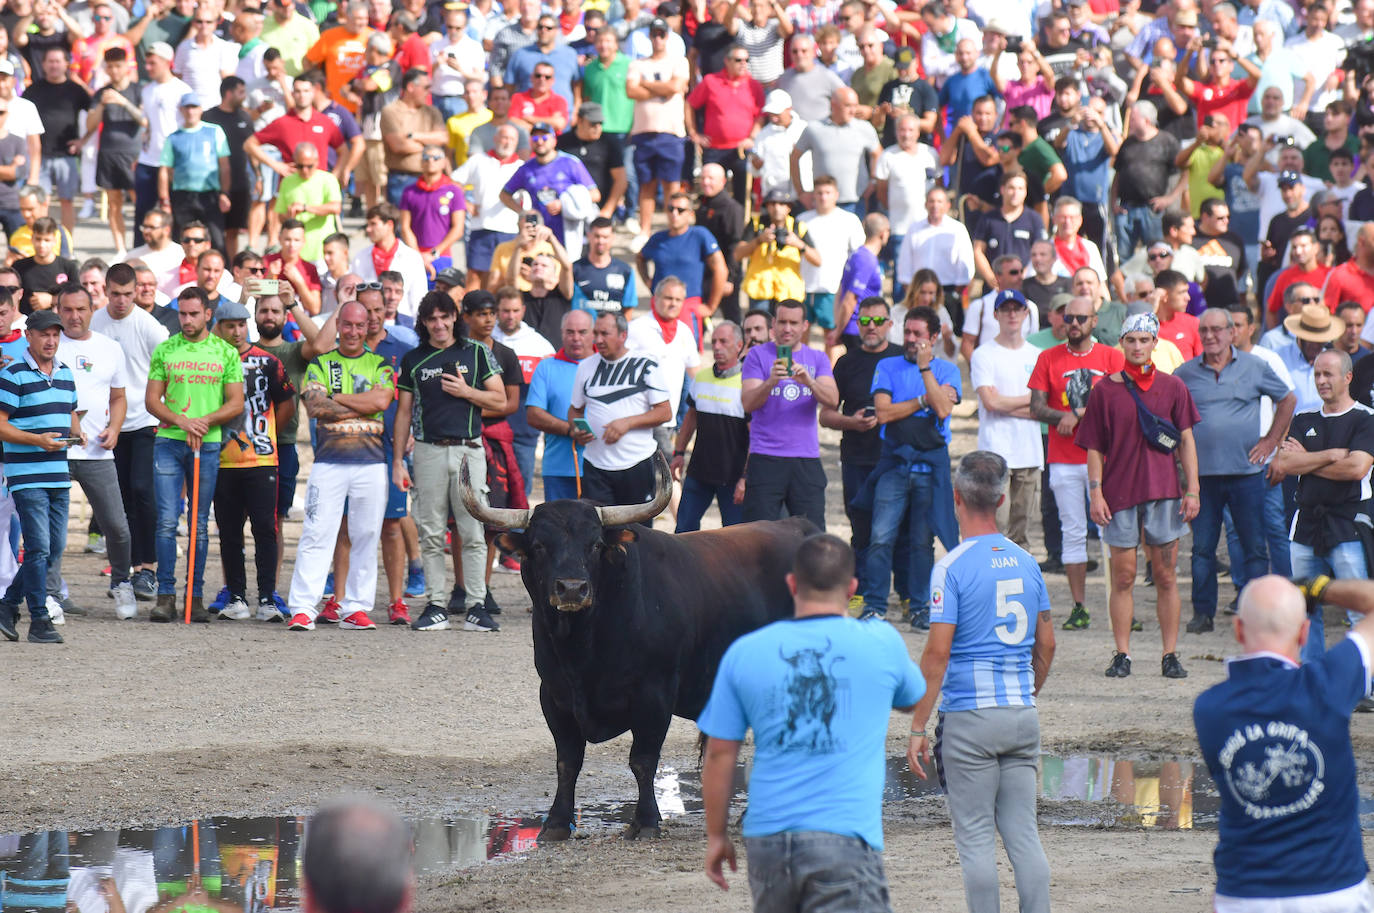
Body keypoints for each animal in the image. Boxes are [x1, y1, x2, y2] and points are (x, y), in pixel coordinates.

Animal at [467, 456, 818, 841]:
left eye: (595, 544)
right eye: (540, 545)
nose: (572, 589)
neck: (583, 650)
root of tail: (800, 527)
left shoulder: (655, 694)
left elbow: (643, 760)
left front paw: (647, 821)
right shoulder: (553, 696)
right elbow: (567, 761)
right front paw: (556, 823)